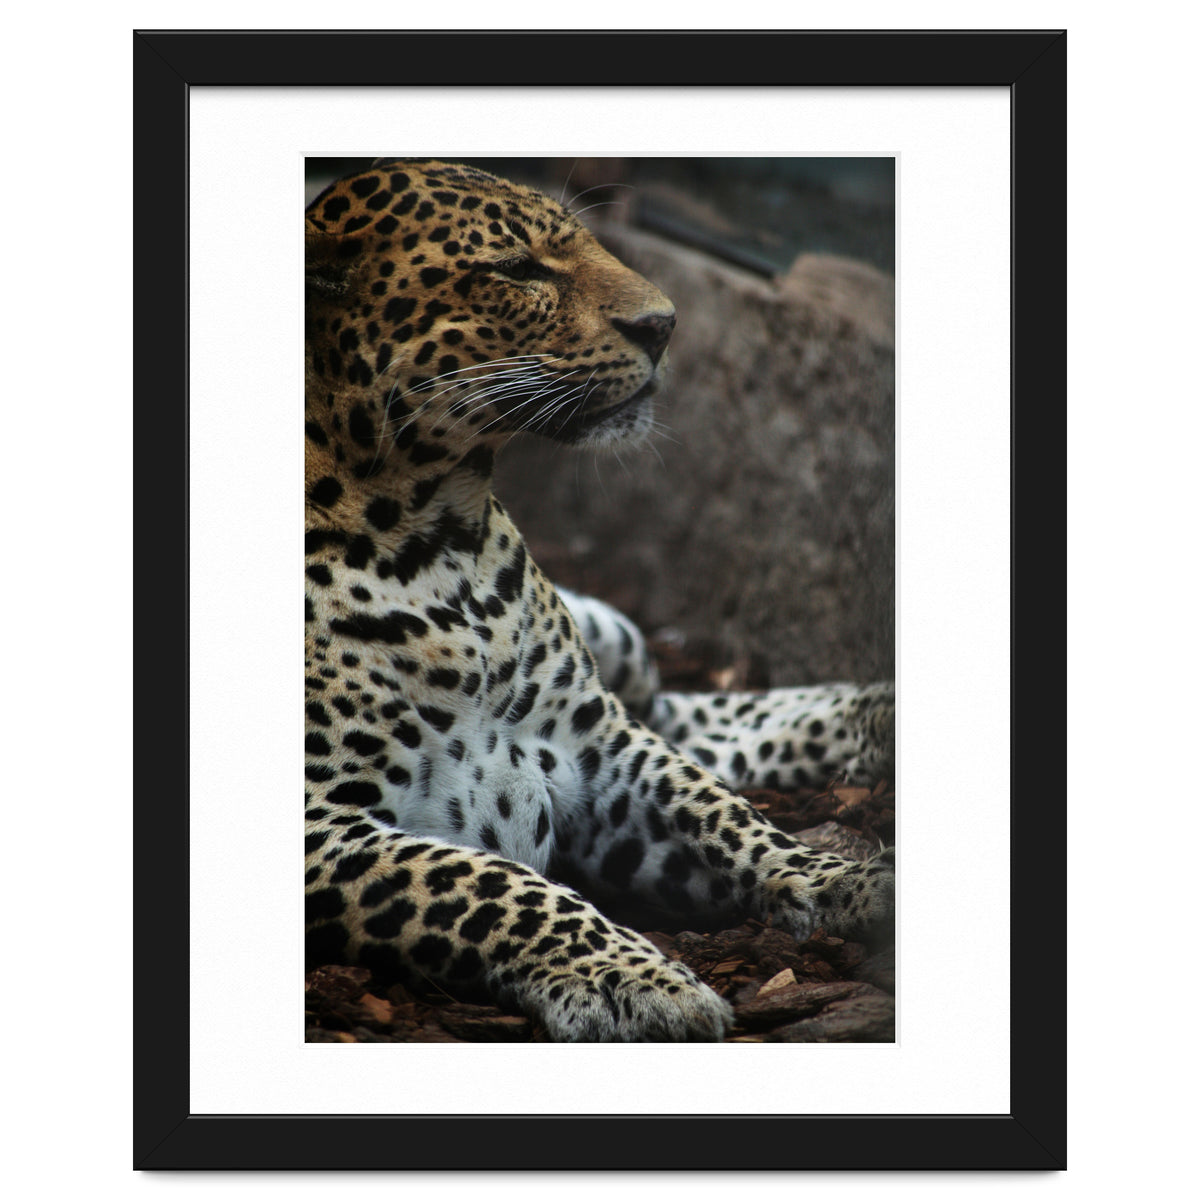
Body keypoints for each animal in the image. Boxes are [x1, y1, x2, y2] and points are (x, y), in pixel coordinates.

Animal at [304, 159, 895, 1041]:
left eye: (583, 242)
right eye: (517, 269)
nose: (665, 325)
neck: (439, 540)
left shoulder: (598, 747)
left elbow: (724, 814)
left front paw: (847, 881)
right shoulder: (320, 826)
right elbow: (490, 884)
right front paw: (635, 980)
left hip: (619, 650)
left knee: (681, 715)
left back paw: (877, 713)